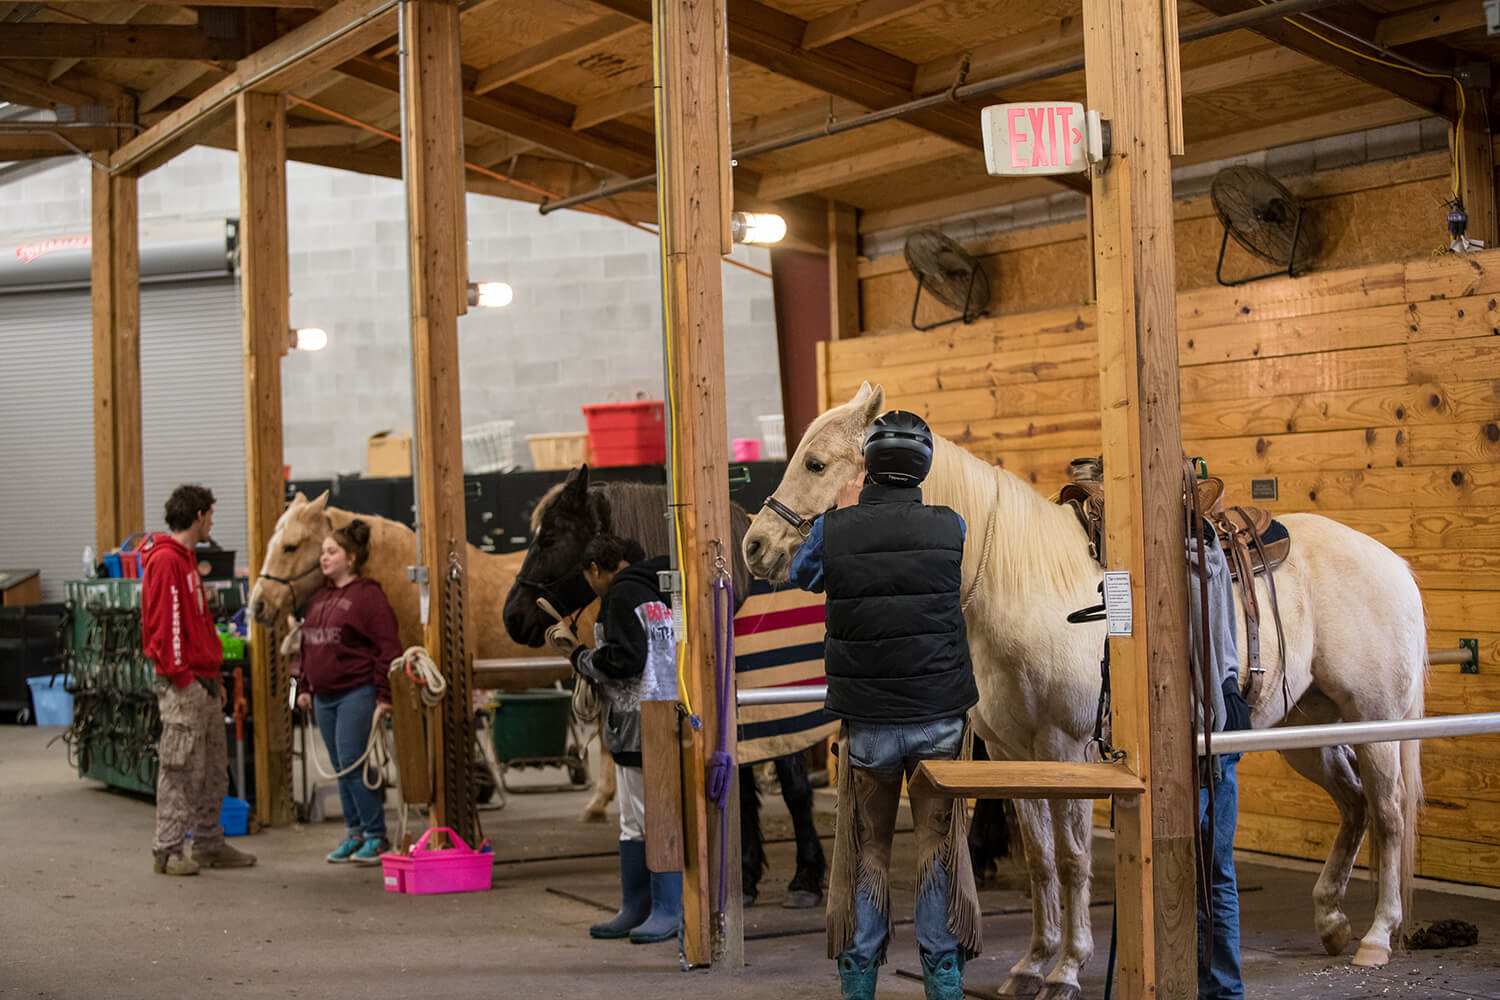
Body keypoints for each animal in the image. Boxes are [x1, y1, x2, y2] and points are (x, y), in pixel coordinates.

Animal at [504, 467, 834, 905]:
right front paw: (745, 876)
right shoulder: (737, 717)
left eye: (550, 538)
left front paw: (807, 877)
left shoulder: (781, 715)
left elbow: (795, 791)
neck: (735, 599)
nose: (511, 616)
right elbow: (743, 794)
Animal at [744, 383, 1422, 1000]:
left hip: (1376, 725)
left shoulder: (1068, 748)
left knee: (1388, 812)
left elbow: (1072, 860)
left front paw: (1068, 969)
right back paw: (1331, 921)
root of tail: (1393, 563)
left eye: (815, 463)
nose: (755, 546)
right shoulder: (1014, 755)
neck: (1023, 583)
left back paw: (1376, 936)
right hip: (1307, 731)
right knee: (1355, 805)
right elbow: (1041, 860)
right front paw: (1032, 964)